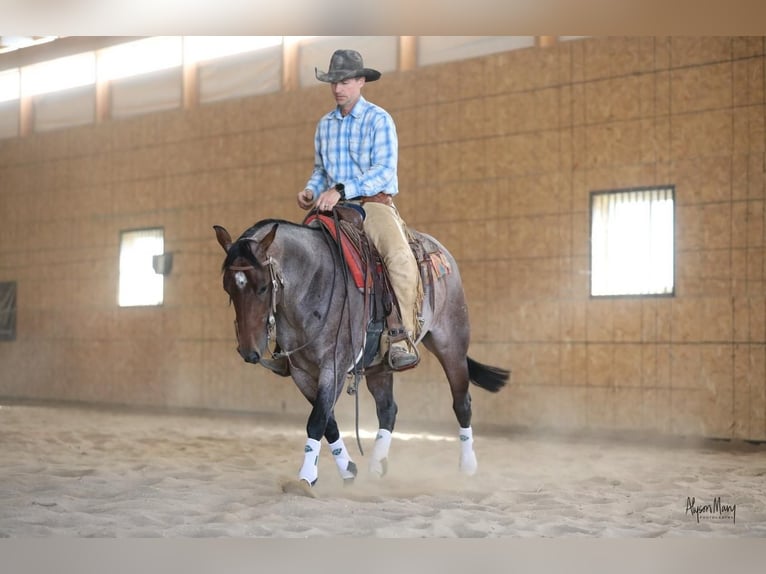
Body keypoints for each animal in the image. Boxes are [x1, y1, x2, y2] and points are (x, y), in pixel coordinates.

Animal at [213, 214, 510, 492]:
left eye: (263, 287)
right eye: (228, 287)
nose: (249, 351)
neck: (313, 282)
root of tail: (443, 254)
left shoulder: (334, 365)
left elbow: (317, 420)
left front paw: (306, 478)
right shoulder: (301, 372)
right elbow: (328, 422)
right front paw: (348, 470)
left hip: (451, 344)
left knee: (462, 402)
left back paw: (468, 466)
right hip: (380, 365)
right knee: (388, 409)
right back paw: (377, 467)